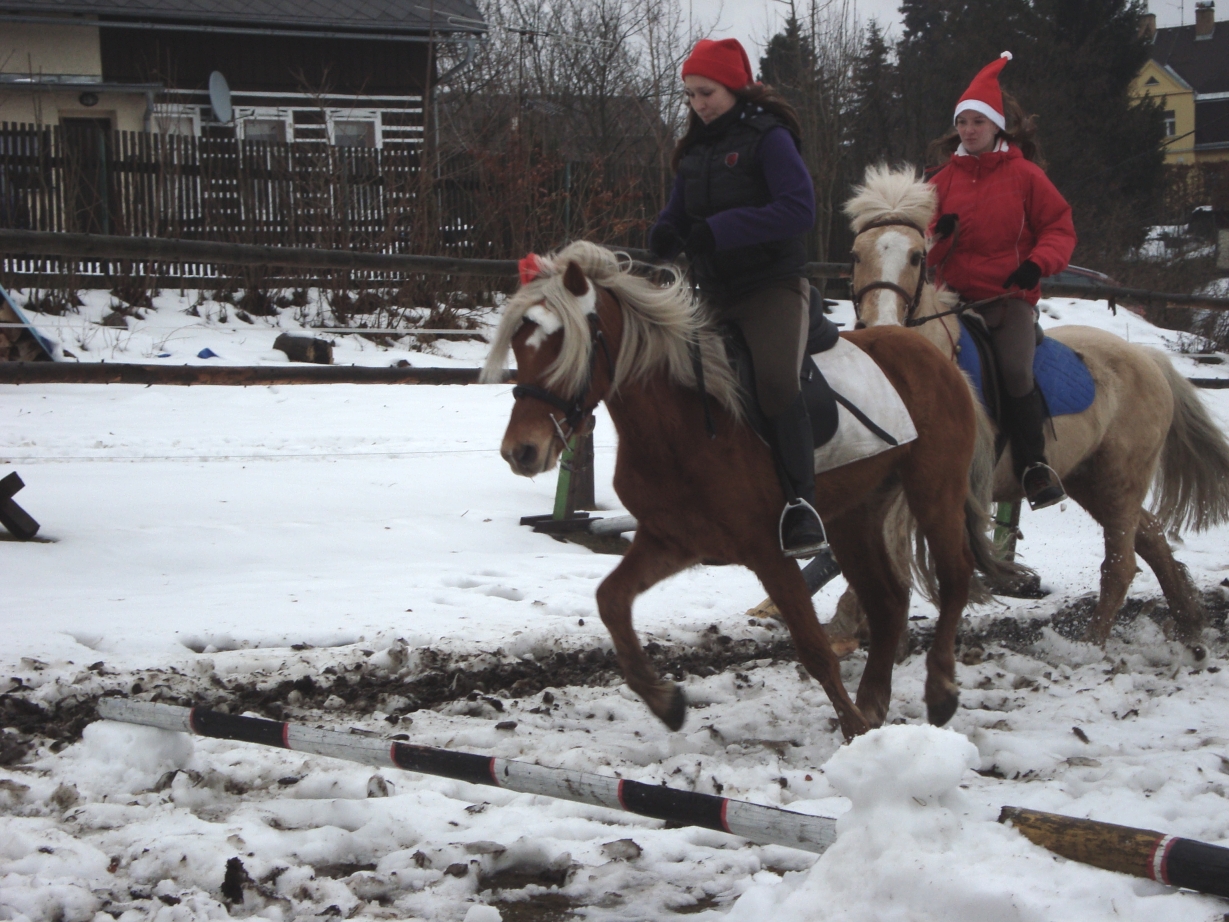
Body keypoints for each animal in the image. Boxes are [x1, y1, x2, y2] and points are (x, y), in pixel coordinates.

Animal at [481, 242, 1027, 742]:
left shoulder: (769, 550)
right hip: (855, 515)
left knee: (954, 578)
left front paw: (852, 731)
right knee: (889, 601)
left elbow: (813, 648)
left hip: (934, 490)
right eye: (521, 345)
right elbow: (610, 600)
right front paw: (665, 703)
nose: (521, 452)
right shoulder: (673, 540)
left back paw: (938, 692)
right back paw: (875, 704)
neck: (681, 423)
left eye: (565, 343)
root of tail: (937, 358)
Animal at [840, 162, 1229, 644]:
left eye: (916, 256)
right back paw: (1190, 622)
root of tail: (1149, 358)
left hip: (1121, 478)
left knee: (1121, 565)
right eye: (856, 255)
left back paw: (1091, 644)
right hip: (1088, 478)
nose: (882, 328)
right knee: (1152, 537)